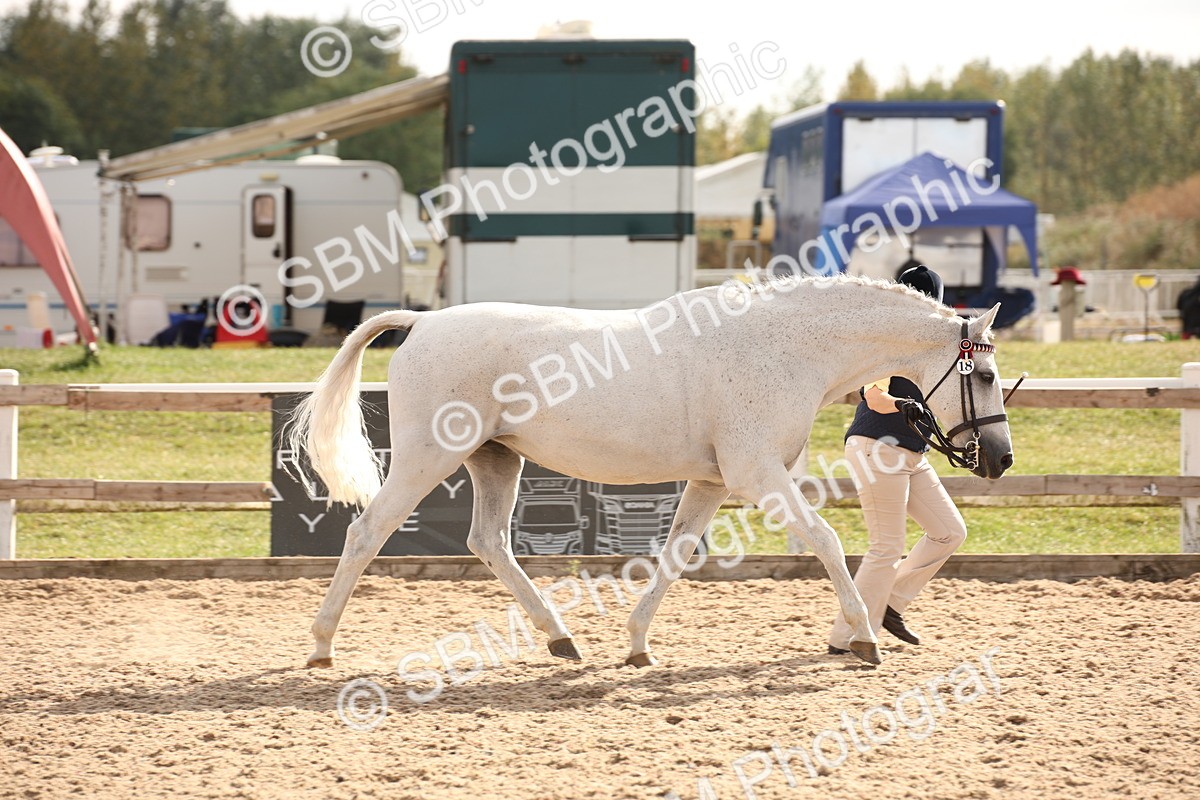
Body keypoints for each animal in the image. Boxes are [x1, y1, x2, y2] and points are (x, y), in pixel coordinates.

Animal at [287, 274, 1015, 669]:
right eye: (983, 374)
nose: (1001, 459)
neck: (786, 347)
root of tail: (422, 321)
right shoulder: (756, 476)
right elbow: (829, 543)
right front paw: (865, 638)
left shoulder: (713, 482)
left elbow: (674, 556)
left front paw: (637, 645)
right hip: (426, 458)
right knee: (368, 533)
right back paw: (321, 647)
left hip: (497, 459)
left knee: (488, 542)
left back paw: (562, 639)